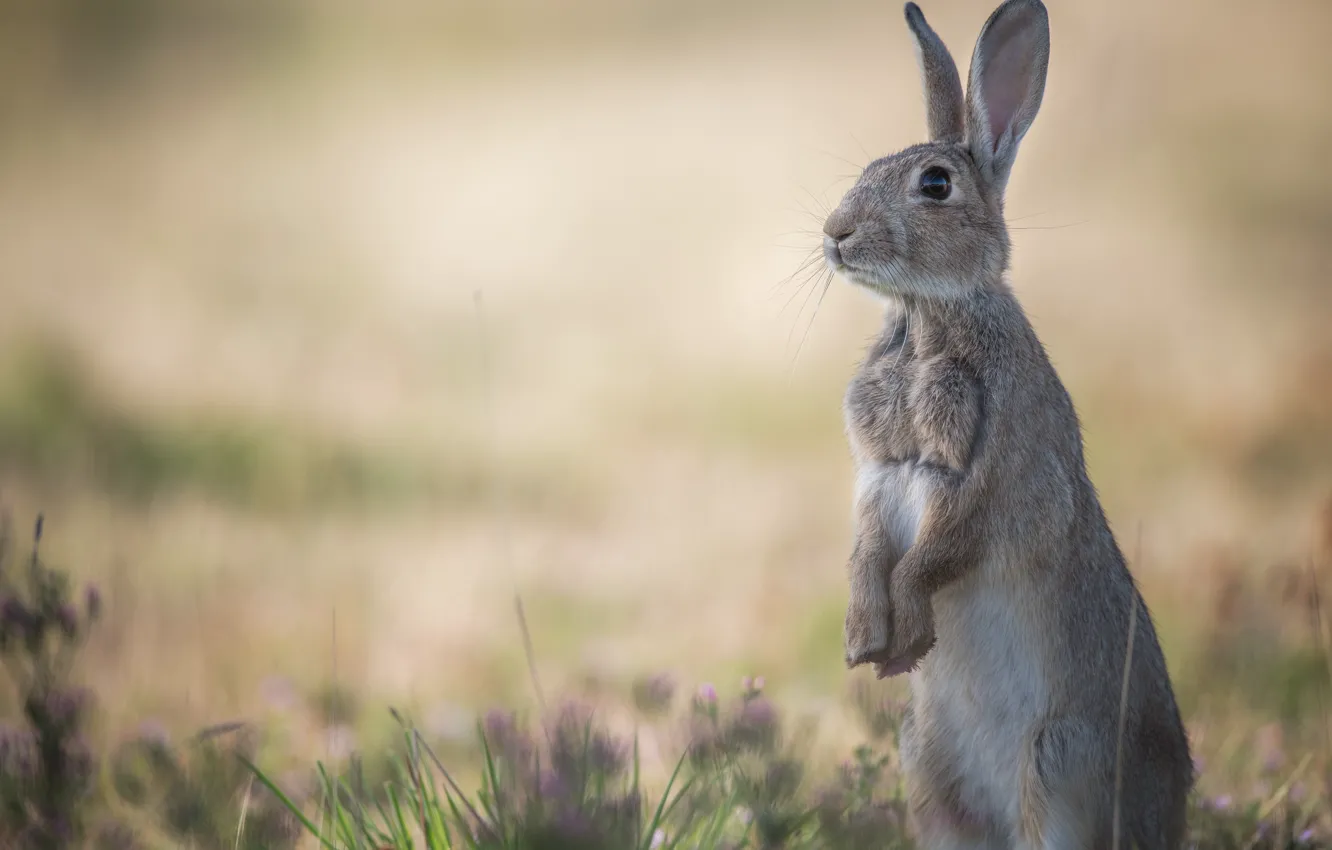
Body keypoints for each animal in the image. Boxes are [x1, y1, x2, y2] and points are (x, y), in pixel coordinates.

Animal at [821, 1, 1194, 847]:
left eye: (935, 184)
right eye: (867, 168)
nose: (835, 233)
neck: (928, 316)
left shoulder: (983, 476)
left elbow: (932, 556)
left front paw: (908, 636)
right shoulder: (878, 475)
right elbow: (866, 550)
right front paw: (864, 642)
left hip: (1057, 762)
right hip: (928, 768)